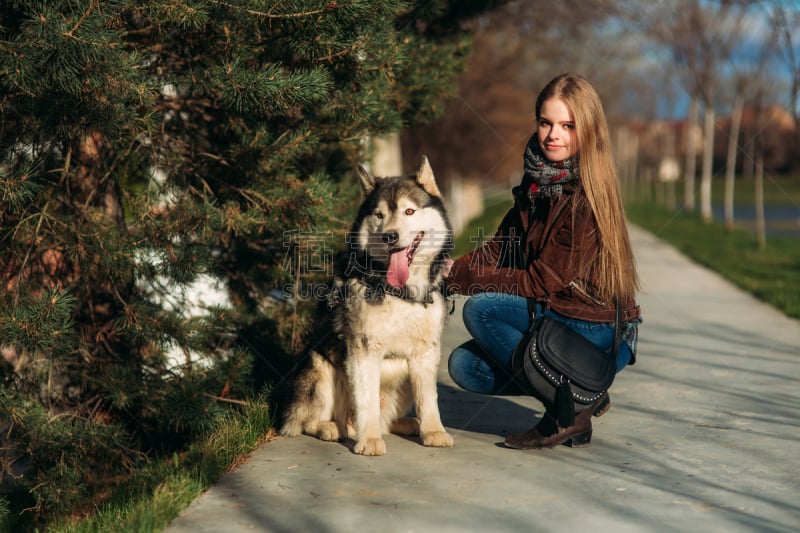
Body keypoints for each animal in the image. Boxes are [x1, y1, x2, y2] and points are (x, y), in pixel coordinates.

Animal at [280, 156, 456, 456]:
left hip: (402, 378)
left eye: (409, 211)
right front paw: (370, 440)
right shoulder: (364, 349)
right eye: (379, 215)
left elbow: (429, 399)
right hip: (322, 369)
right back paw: (332, 428)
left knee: (389, 418)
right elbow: (367, 401)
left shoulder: (425, 352)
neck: (399, 292)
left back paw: (406, 423)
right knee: (310, 421)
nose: (390, 237)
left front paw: (434, 431)